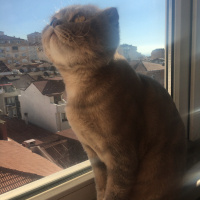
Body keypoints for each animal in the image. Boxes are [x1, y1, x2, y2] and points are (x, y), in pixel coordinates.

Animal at [41, 4, 186, 200]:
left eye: (79, 18)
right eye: (51, 20)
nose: (54, 23)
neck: (79, 93)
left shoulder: (121, 157)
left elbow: (113, 192)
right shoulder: (94, 156)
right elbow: (101, 188)